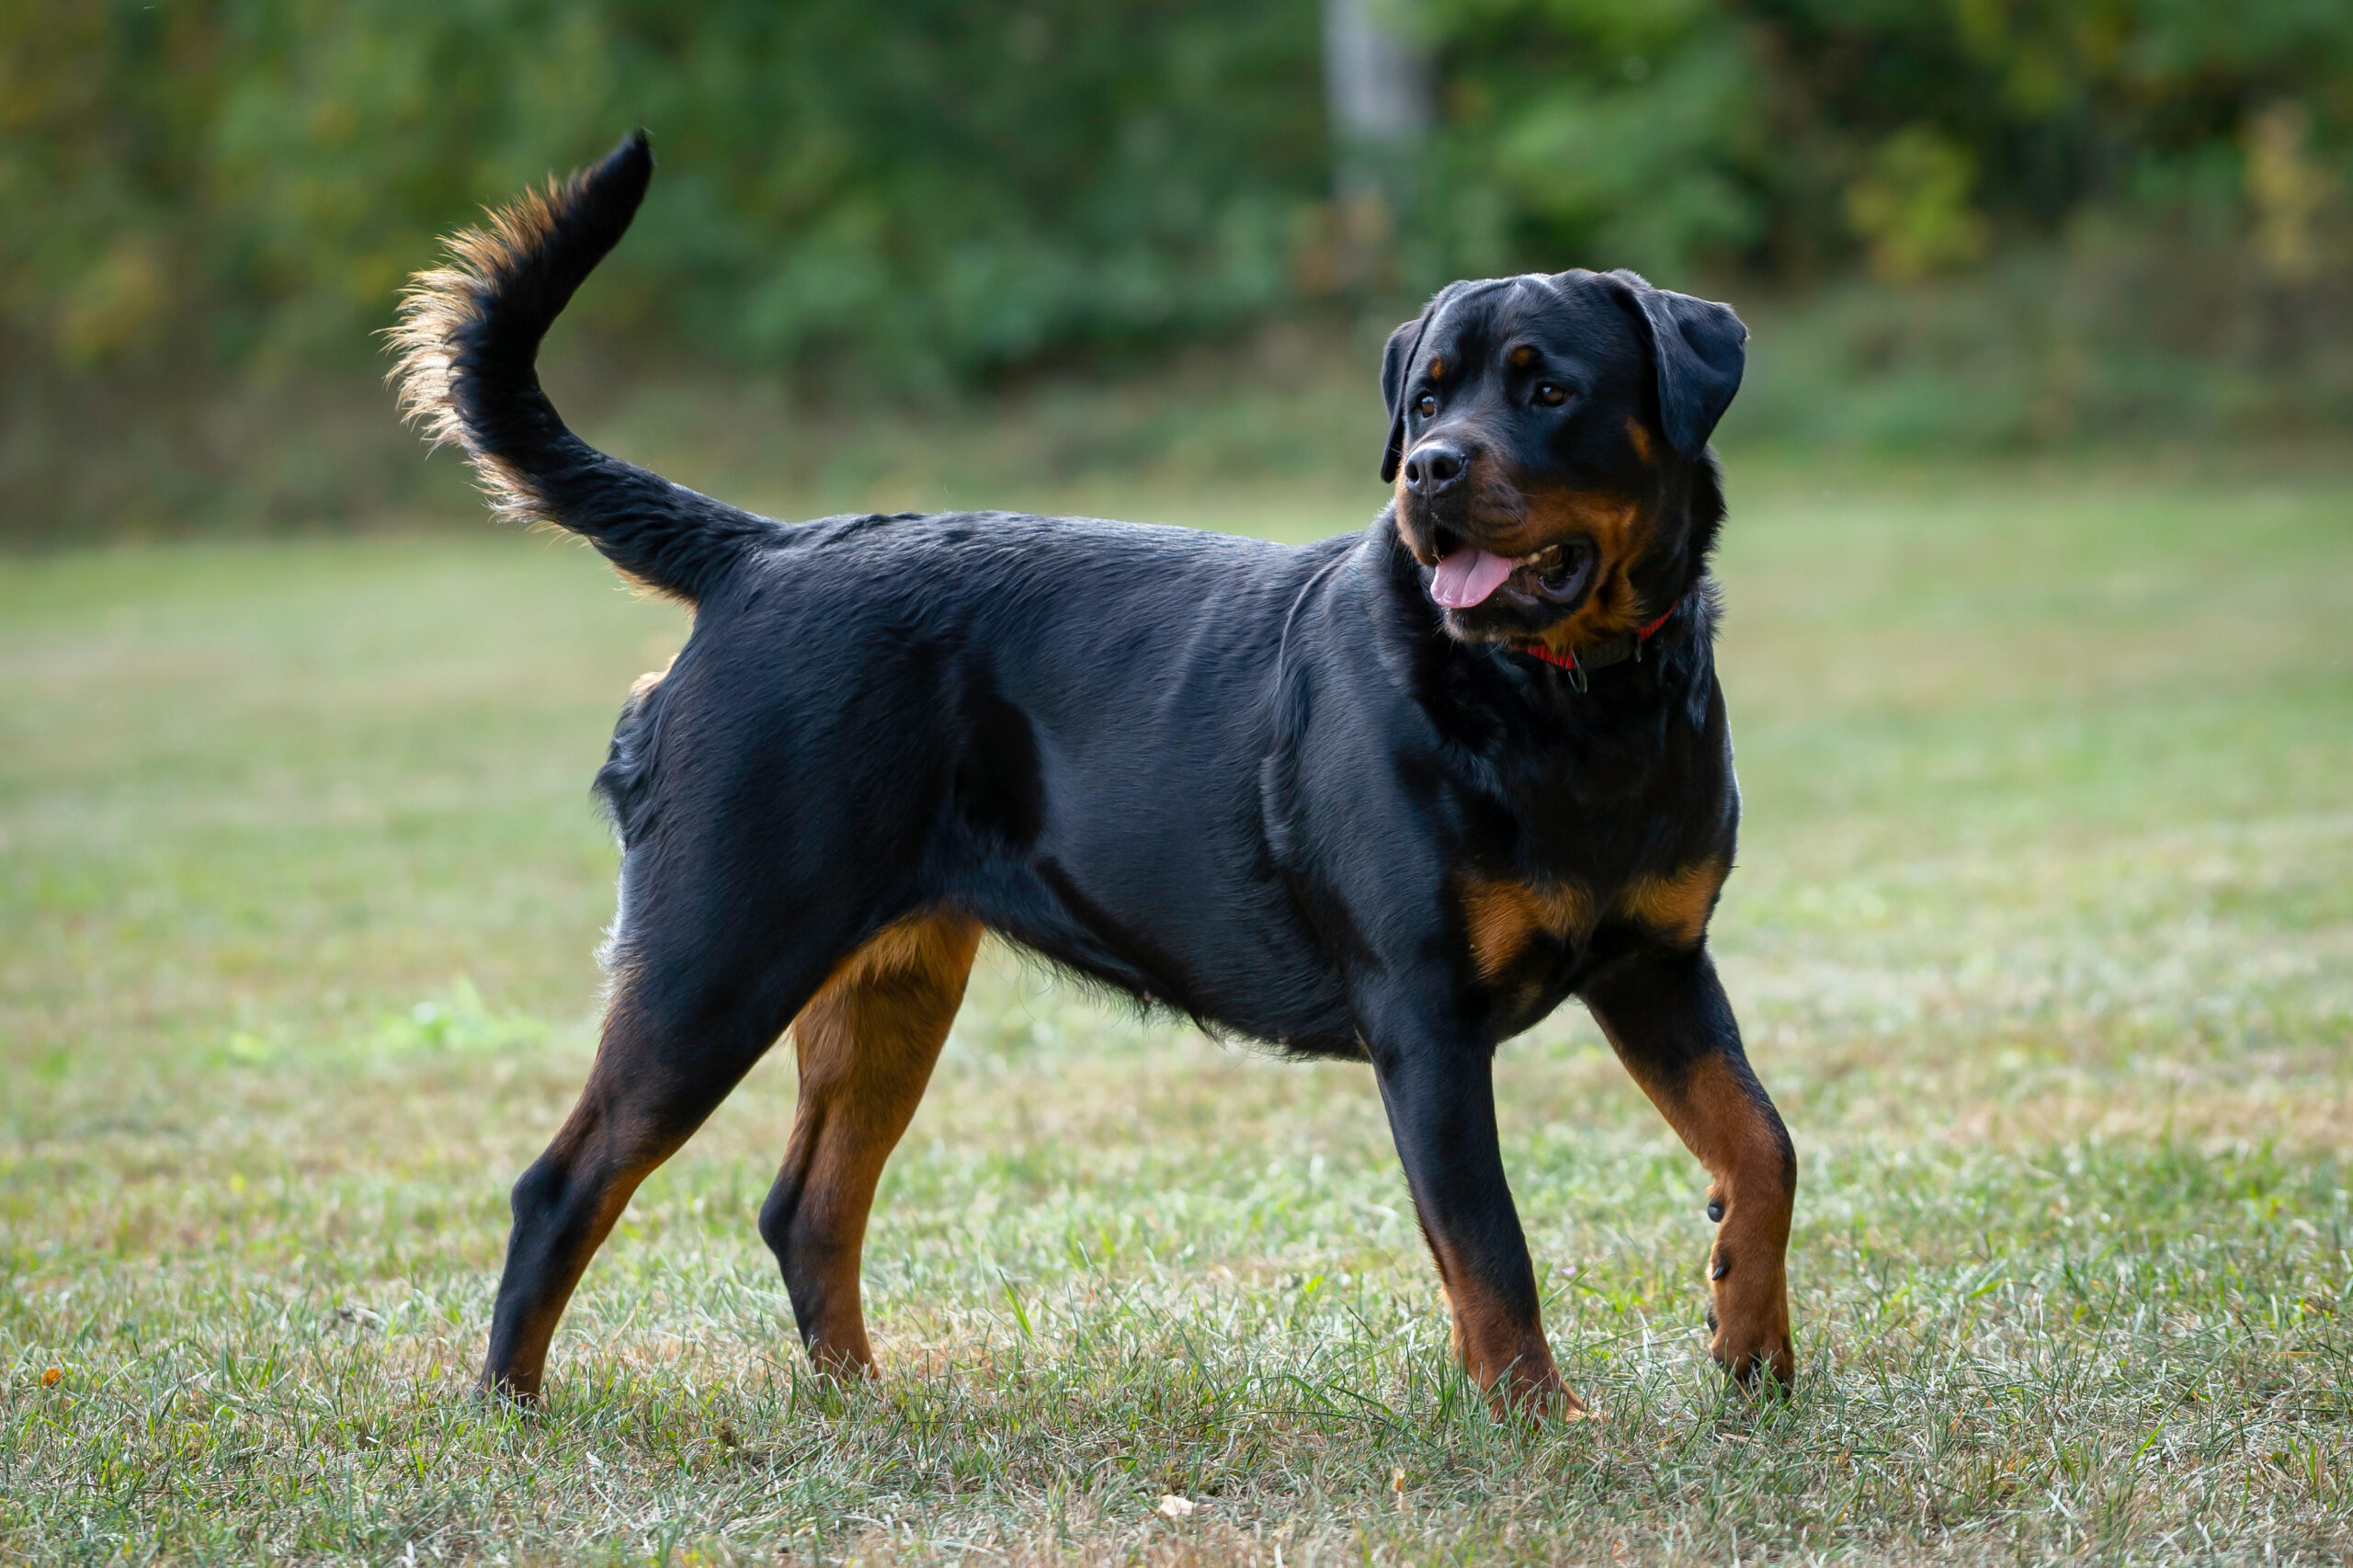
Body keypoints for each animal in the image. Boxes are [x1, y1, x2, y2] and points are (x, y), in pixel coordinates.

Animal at [395, 131, 1797, 1403]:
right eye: (1428, 398)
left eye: (1546, 389)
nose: (1433, 468)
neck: (1568, 702)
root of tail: (764, 551)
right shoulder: (1425, 1014)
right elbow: (1493, 1251)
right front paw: (1540, 1421)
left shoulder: (1656, 959)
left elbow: (1762, 1144)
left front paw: (1754, 1354)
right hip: (718, 951)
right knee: (565, 1182)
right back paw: (511, 1409)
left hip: (891, 978)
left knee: (810, 1205)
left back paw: (862, 1404)